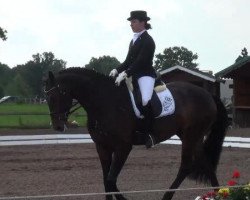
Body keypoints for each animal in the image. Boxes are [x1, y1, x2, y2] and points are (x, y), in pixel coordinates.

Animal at [44, 67, 228, 200]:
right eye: (47, 98)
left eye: (56, 96)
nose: (58, 126)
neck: (104, 102)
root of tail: (207, 94)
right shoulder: (102, 147)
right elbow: (106, 180)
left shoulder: (123, 147)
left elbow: (110, 180)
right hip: (192, 136)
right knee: (206, 162)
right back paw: (219, 193)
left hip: (191, 135)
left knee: (186, 166)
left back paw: (167, 196)